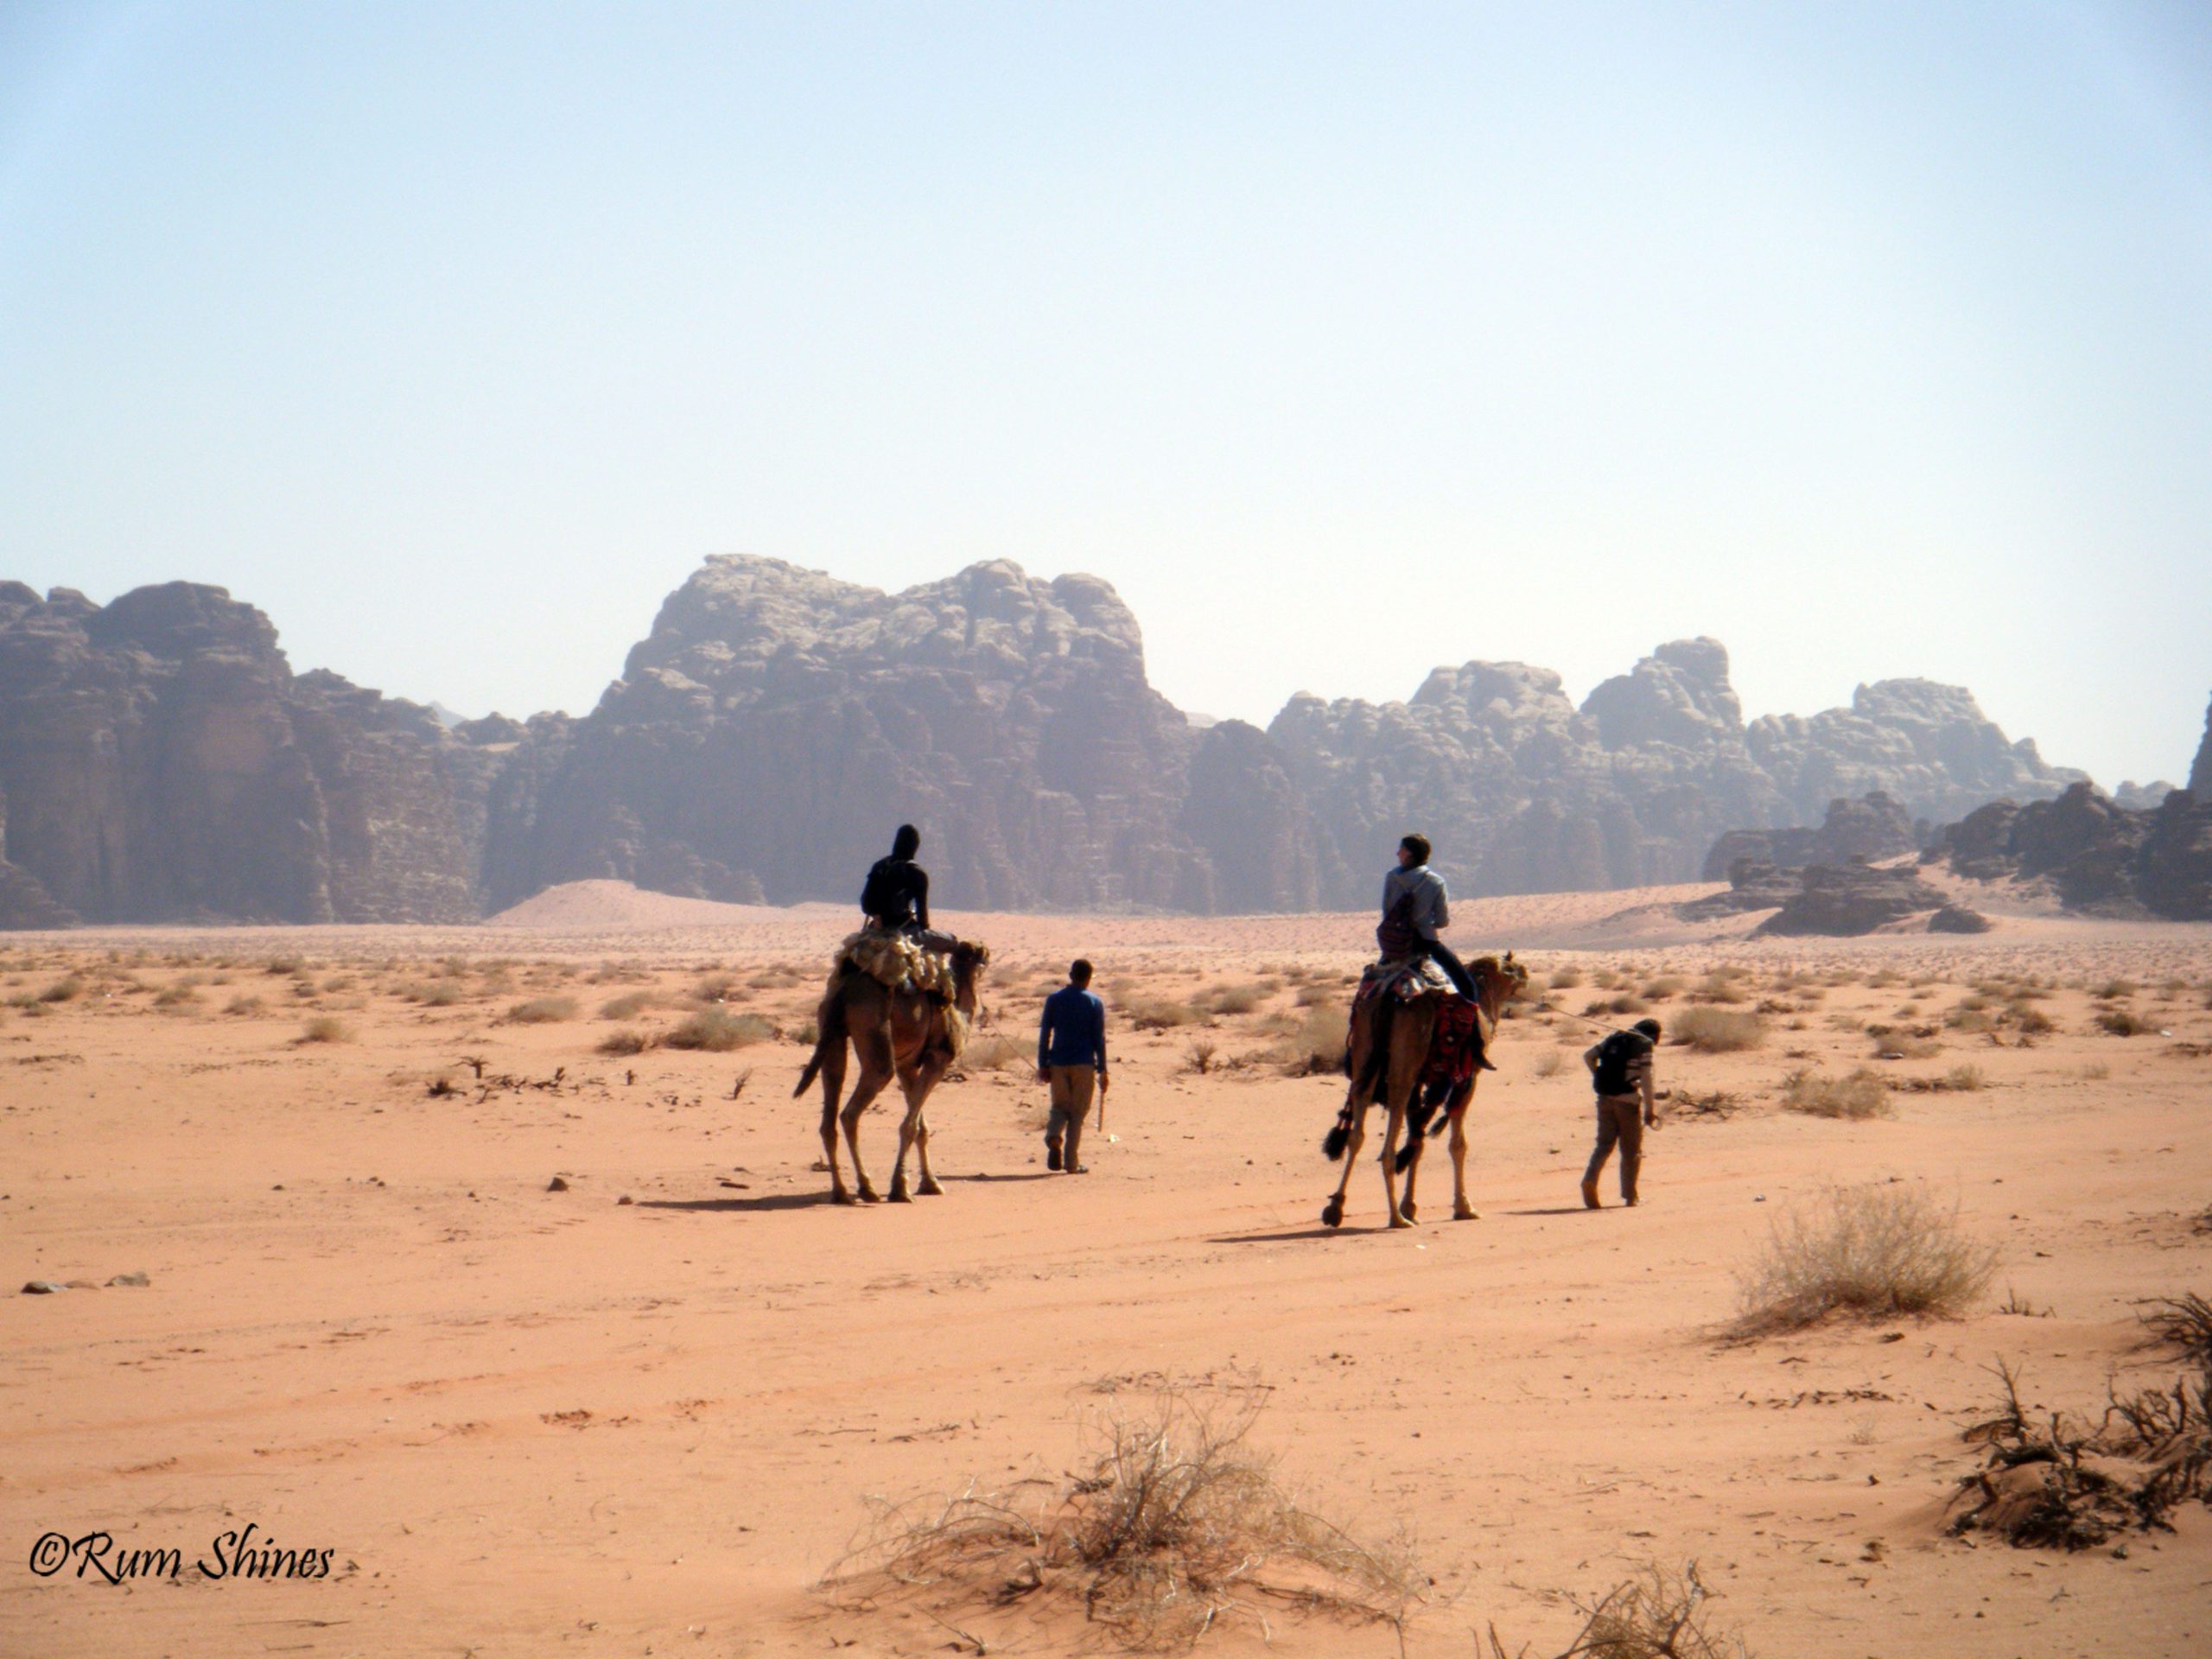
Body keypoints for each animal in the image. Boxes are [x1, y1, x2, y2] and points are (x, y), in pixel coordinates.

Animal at [791, 938, 990, 1211]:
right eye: (983, 955)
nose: (987, 955)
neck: (958, 1010)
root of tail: (844, 990)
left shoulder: (908, 1065)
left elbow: (921, 1126)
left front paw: (930, 1184)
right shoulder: (937, 1059)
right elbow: (909, 1125)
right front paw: (901, 1188)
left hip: (831, 1031)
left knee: (829, 1111)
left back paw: (841, 1192)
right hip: (875, 1032)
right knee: (853, 1109)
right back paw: (867, 1189)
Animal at [1318, 946, 1530, 1238]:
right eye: (1511, 968)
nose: (1526, 974)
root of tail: (1388, 995)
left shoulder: (1423, 1081)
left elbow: (1416, 1140)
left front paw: (1411, 1207)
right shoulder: (1466, 1078)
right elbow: (1457, 1144)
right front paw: (1464, 1208)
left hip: (1366, 1057)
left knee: (1356, 1130)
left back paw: (1335, 1208)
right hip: (1405, 1063)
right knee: (1389, 1137)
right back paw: (1396, 1218)